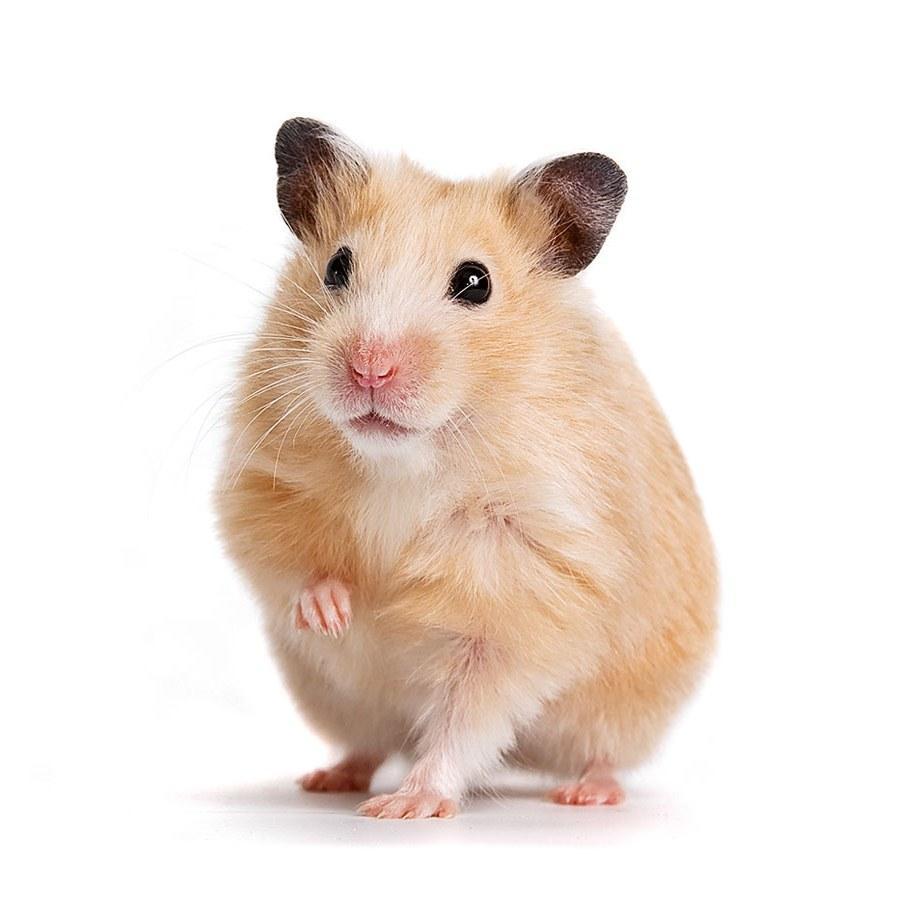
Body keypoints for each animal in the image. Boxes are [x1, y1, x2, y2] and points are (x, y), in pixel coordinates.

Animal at [216, 117, 717, 819]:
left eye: (476, 282)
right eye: (337, 266)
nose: (369, 368)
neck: (404, 461)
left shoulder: (526, 587)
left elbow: (467, 712)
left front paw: (407, 807)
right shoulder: (261, 479)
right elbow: (289, 561)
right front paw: (334, 613)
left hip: (627, 708)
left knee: (599, 752)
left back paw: (585, 794)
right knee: (370, 742)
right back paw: (328, 778)